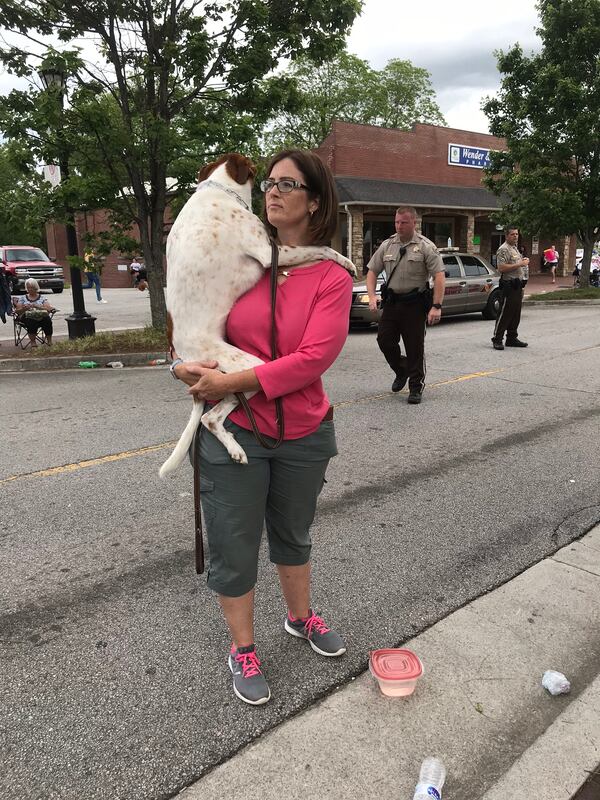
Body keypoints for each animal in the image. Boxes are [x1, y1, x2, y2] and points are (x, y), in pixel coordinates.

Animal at [159, 152, 356, 476]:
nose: (271, 189)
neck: (217, 191)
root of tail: (184, 354)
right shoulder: (268, 251)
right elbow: (321, 246)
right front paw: (347, 262)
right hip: (249, 367)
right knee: (211, 417)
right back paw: (236, 449)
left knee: (210, 417)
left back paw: (234, 449)